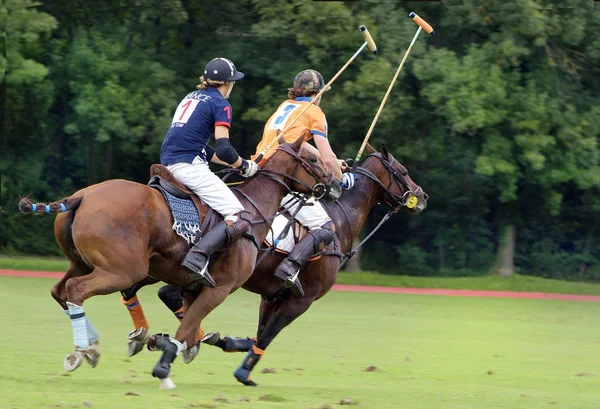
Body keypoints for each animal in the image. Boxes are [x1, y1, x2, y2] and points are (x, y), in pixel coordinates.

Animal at [16, 136, 332, 380]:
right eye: (313, 159)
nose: (331, 183)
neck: (254, 210)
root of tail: (82, 197)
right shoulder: (220, 288)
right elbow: (186, 328)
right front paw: (165, 363)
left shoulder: (193, 287)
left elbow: (191, 329)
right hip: (123, 270)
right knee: (76, 290)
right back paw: (82, 351)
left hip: (82, 263)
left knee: (60, 291)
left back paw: (93, 348)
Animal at [119, 142, 426, 384]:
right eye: (404, 171)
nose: (422, 196)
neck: (341, 219)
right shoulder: (302, 299)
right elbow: (267, 335)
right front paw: (243, 373)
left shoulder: (270, 295)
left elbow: (259, 332)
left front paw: (227, 345)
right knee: (161, 292)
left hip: (160, 266)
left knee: (140, 289)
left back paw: (155, 337)